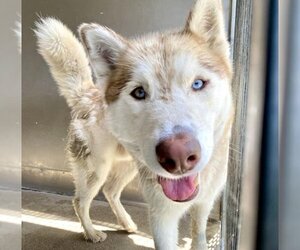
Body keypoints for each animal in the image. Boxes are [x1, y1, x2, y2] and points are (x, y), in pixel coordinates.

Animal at [35, 0, 234, 249]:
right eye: (139, 92)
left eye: (198, 84)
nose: (178, 156)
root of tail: (89, 93)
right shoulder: (162, 215)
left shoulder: (203, 204)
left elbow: (198, 235)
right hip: (96, 170)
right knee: (79, 201)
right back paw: (91, 232)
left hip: (129, 166)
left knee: (110, 191)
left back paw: (126, 222)